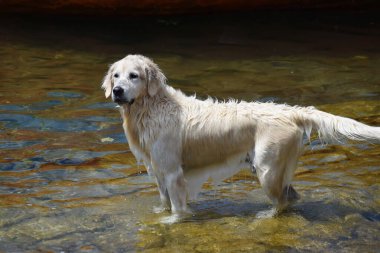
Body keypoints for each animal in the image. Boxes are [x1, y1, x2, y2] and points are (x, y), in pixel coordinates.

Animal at [101, 53, 380, 221]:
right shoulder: (158, 171)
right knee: (292, 195)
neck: (149, 108)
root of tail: (289, 111)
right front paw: (161, 213)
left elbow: (179, 208)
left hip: (267, 169)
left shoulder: (172, 172)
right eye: (116, 75)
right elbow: (164, 200)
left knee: (281, 200)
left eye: (134, 75)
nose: (117, 91)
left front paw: (172, 222)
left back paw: (266, 215)